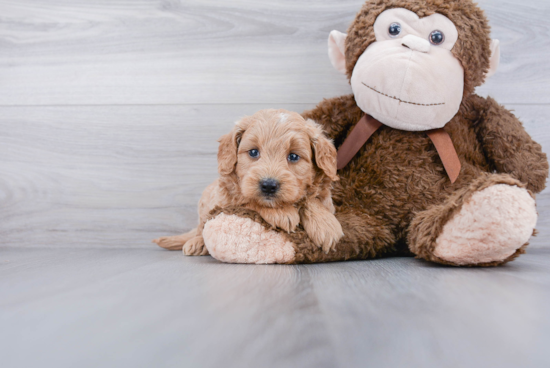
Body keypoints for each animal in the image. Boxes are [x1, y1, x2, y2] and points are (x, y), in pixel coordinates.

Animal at [155, 109, 342, 256]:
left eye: (294, 156)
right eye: (253, 152)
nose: (268, 185)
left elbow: (310, 198)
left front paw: (326, 224)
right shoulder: (228, 197)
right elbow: (249, 200)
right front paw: (282, 213)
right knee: (202, 226)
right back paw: (197, 243)